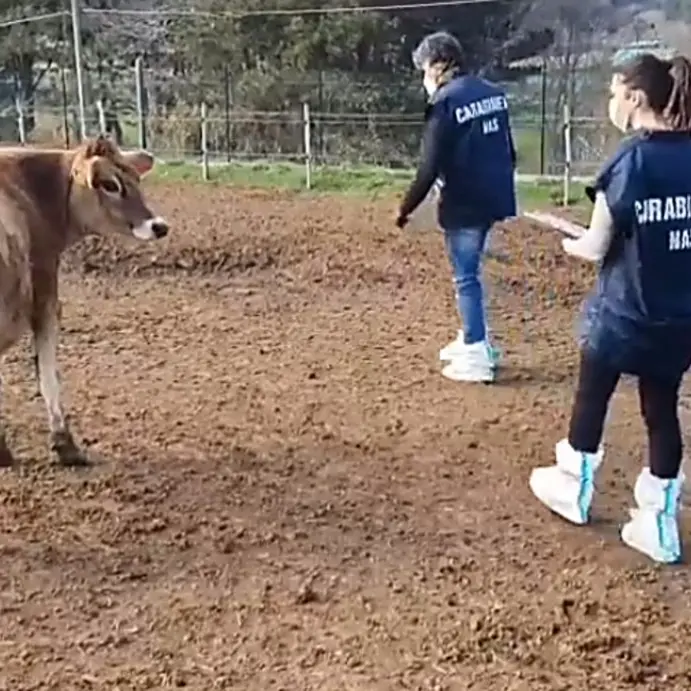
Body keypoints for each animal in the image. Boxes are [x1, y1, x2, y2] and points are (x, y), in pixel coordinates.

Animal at [0, 134, 169, 470]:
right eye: (109, 184)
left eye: (136, 179)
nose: (159, 226)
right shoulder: (45, 290)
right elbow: (48, 372)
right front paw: (65, 445)